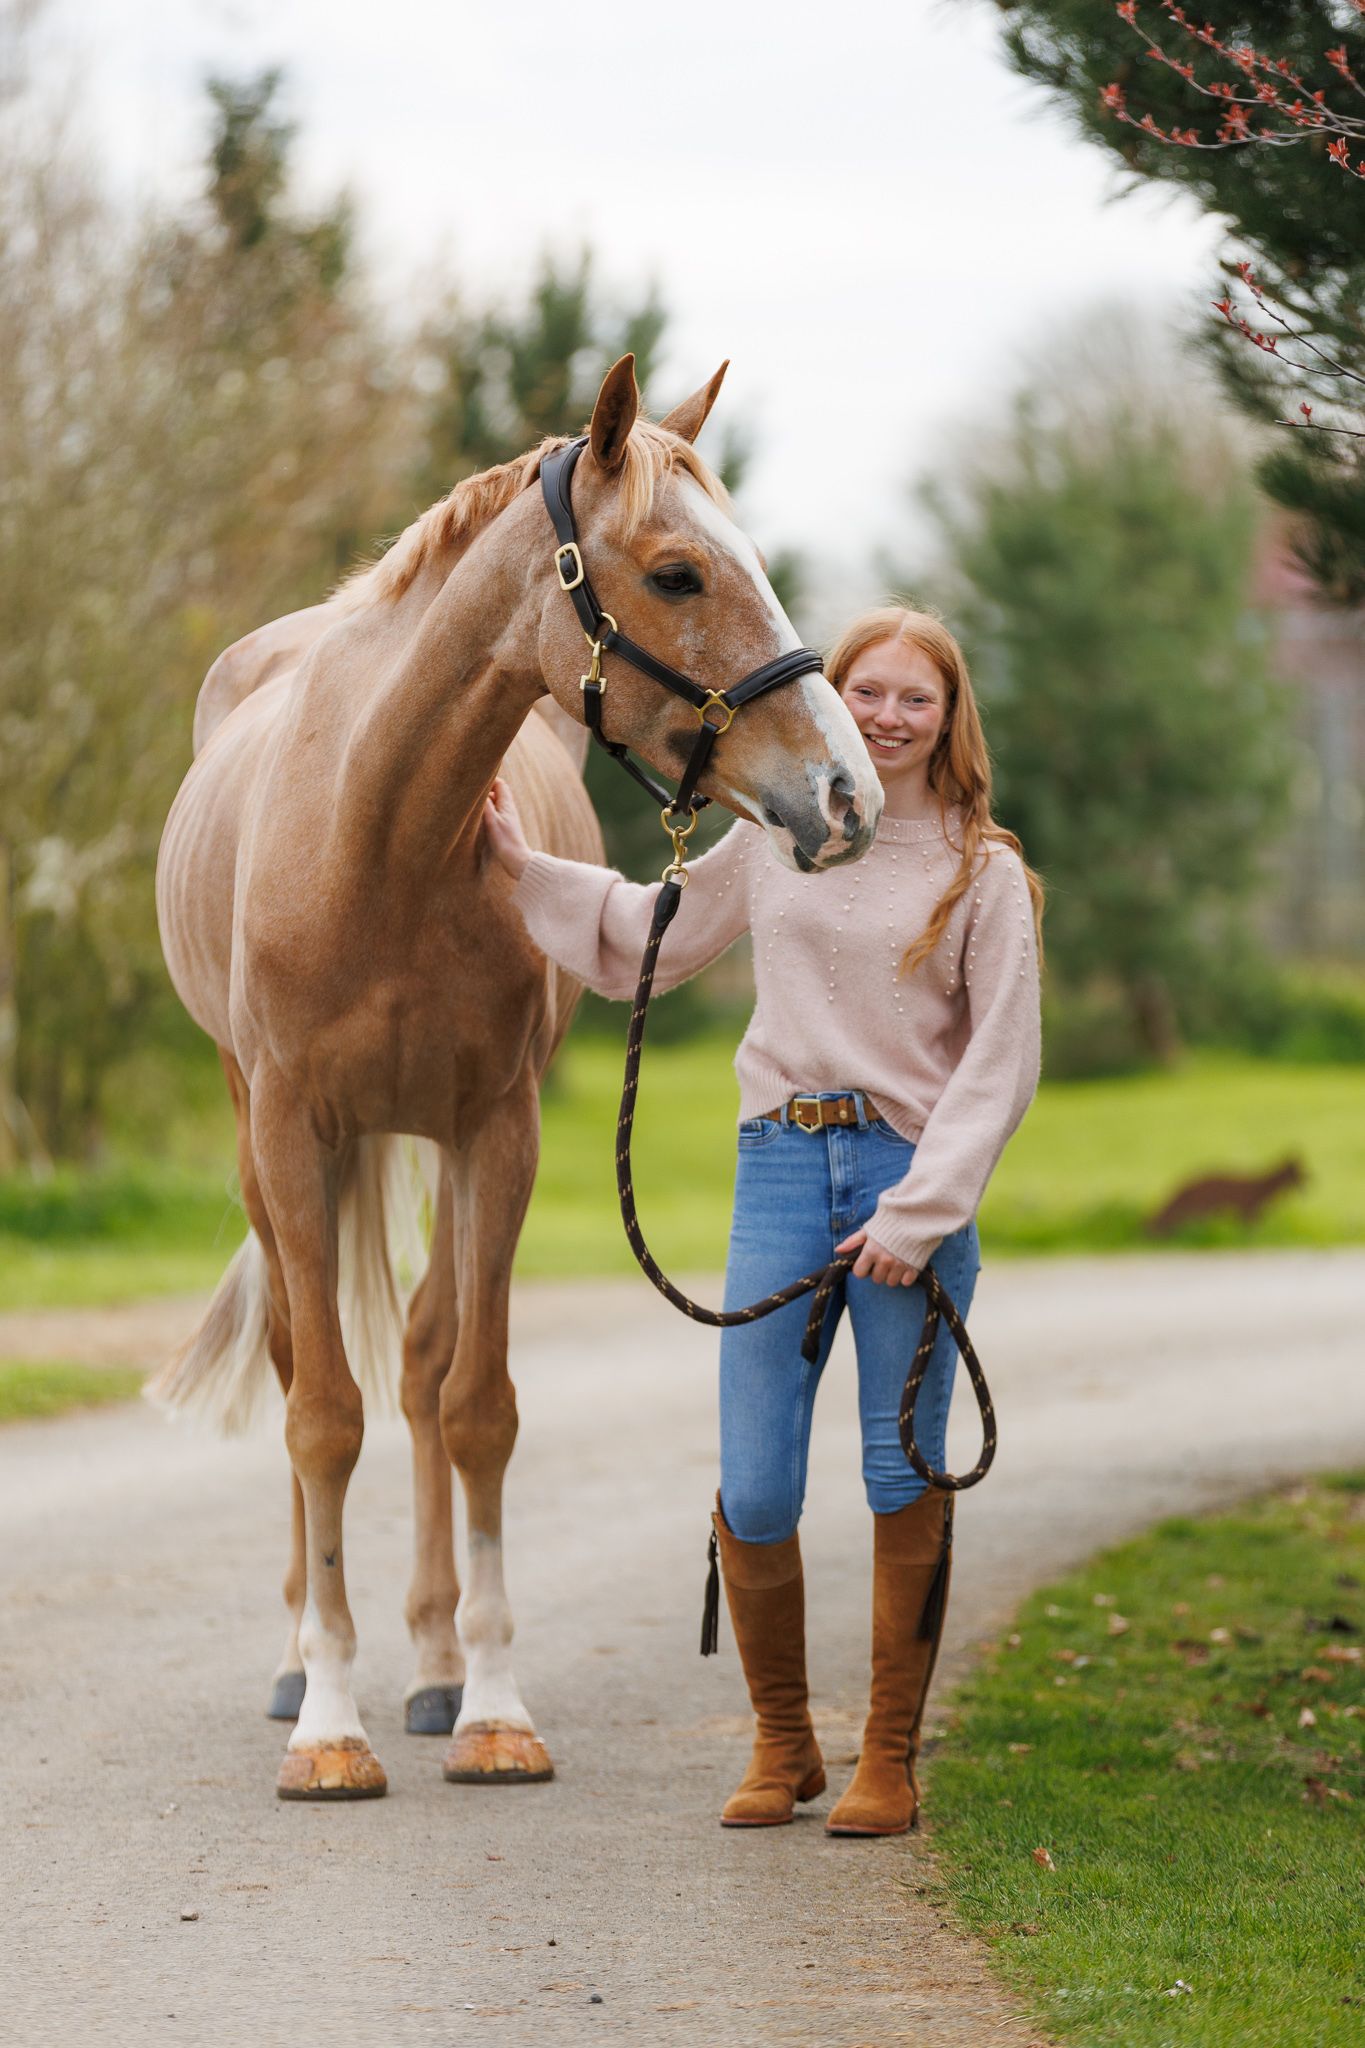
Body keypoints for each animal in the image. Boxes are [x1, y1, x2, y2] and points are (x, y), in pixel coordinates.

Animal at [150, 354, 883, 1801]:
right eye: (676, 573)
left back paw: (433, 1666)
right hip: (277, 1143)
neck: (376, 836)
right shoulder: (290, 1130)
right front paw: (329, 1725)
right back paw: (298, 1661)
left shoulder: (498, 1131)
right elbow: (321, 1416)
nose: (845, 795)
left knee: (428, 1359)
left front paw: (491, 1706)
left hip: (430, 1142)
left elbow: (474, 1404)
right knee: (302, 1359)